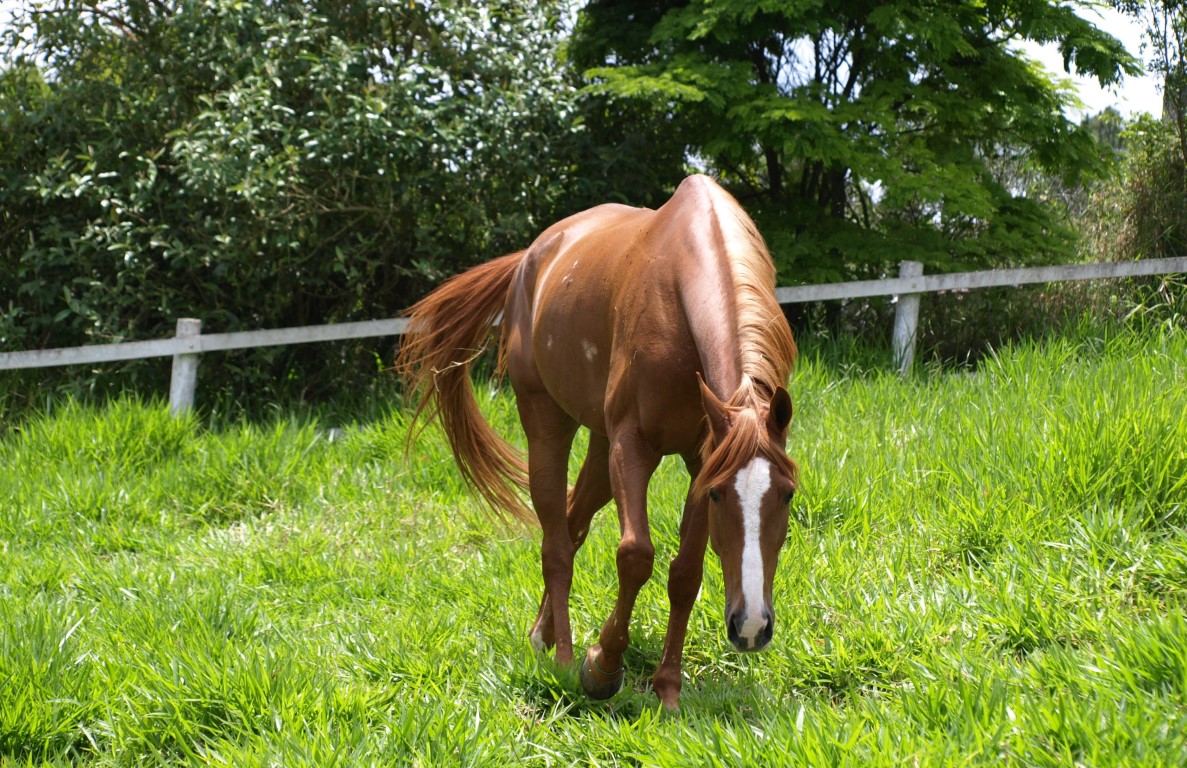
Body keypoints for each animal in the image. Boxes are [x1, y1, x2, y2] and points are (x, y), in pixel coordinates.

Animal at [398, 174, 797, 707]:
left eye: (787, 495)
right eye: (719, 496)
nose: (751, 626)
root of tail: (531, 257)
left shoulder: (701, 456)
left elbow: (685, 573)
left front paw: (668, 688)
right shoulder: (635, 446)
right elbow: (635, 555)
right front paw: (602, 666)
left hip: (600, 445)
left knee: (572, 523)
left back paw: (542, 635)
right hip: (547, 424)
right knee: (555, 543)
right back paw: (564, 658)